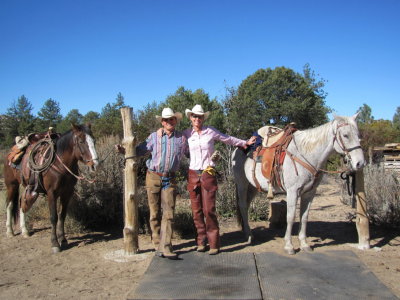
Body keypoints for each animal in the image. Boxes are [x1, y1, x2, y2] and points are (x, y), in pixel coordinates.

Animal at [4, 124, 99, 253]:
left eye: (94, 141)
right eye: (81, 141)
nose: (95, 165)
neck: (59, 164)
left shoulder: (67, 193)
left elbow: (62, 216)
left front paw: (63, 240)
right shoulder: (51, 193)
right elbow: (53, 217)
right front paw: (55, 243)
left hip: (27, 187)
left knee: (21, 204)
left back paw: (25, 231)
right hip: (11, 185)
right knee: (9, 205)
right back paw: (9, 231)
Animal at [231, 113, 366, 254]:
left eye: (358, 135)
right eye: (345, 135)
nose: (360, 163)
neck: (305, 154)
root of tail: (238, 149)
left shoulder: (310, 192)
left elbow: (304, 217)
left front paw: (304, 244)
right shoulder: (292, 191)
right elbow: (291, 217)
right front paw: (289, 246)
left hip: (253, 187)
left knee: (246, 205)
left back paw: (246, 231)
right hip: (242, 184)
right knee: (243, 206)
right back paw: (249, 235)